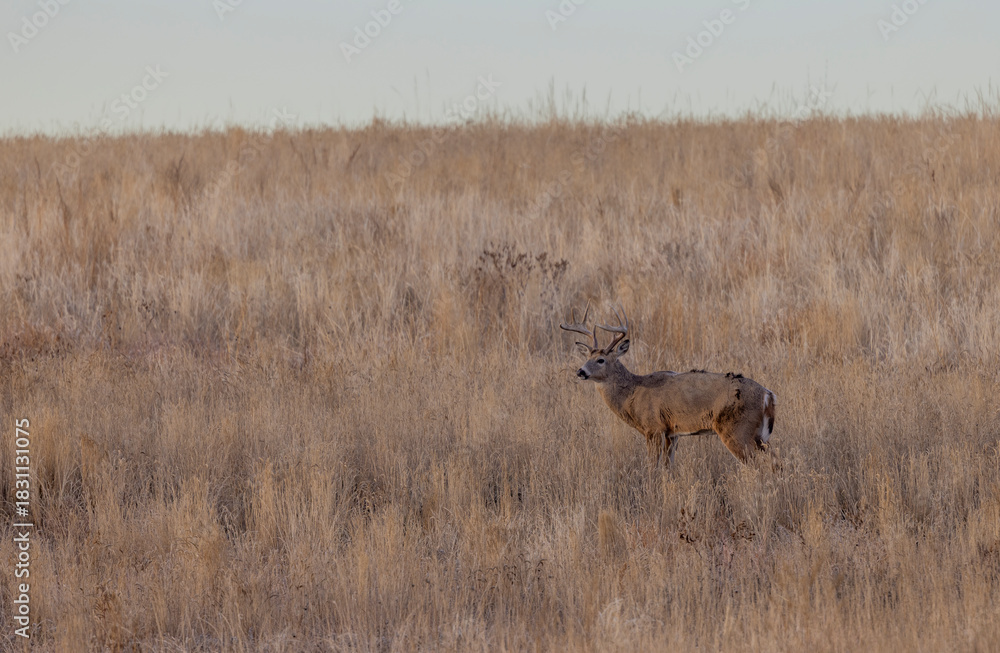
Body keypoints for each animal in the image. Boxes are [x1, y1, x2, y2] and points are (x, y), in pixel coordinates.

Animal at [561, 305, 776, 467]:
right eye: (588, 357)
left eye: (601, 360)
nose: (580, 371)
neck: (633, 394)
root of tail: (768, 395)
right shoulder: (672, 433)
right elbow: (668, 467)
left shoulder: (653, 428)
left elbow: (652, 467)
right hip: (759, 436)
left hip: (737, 430)